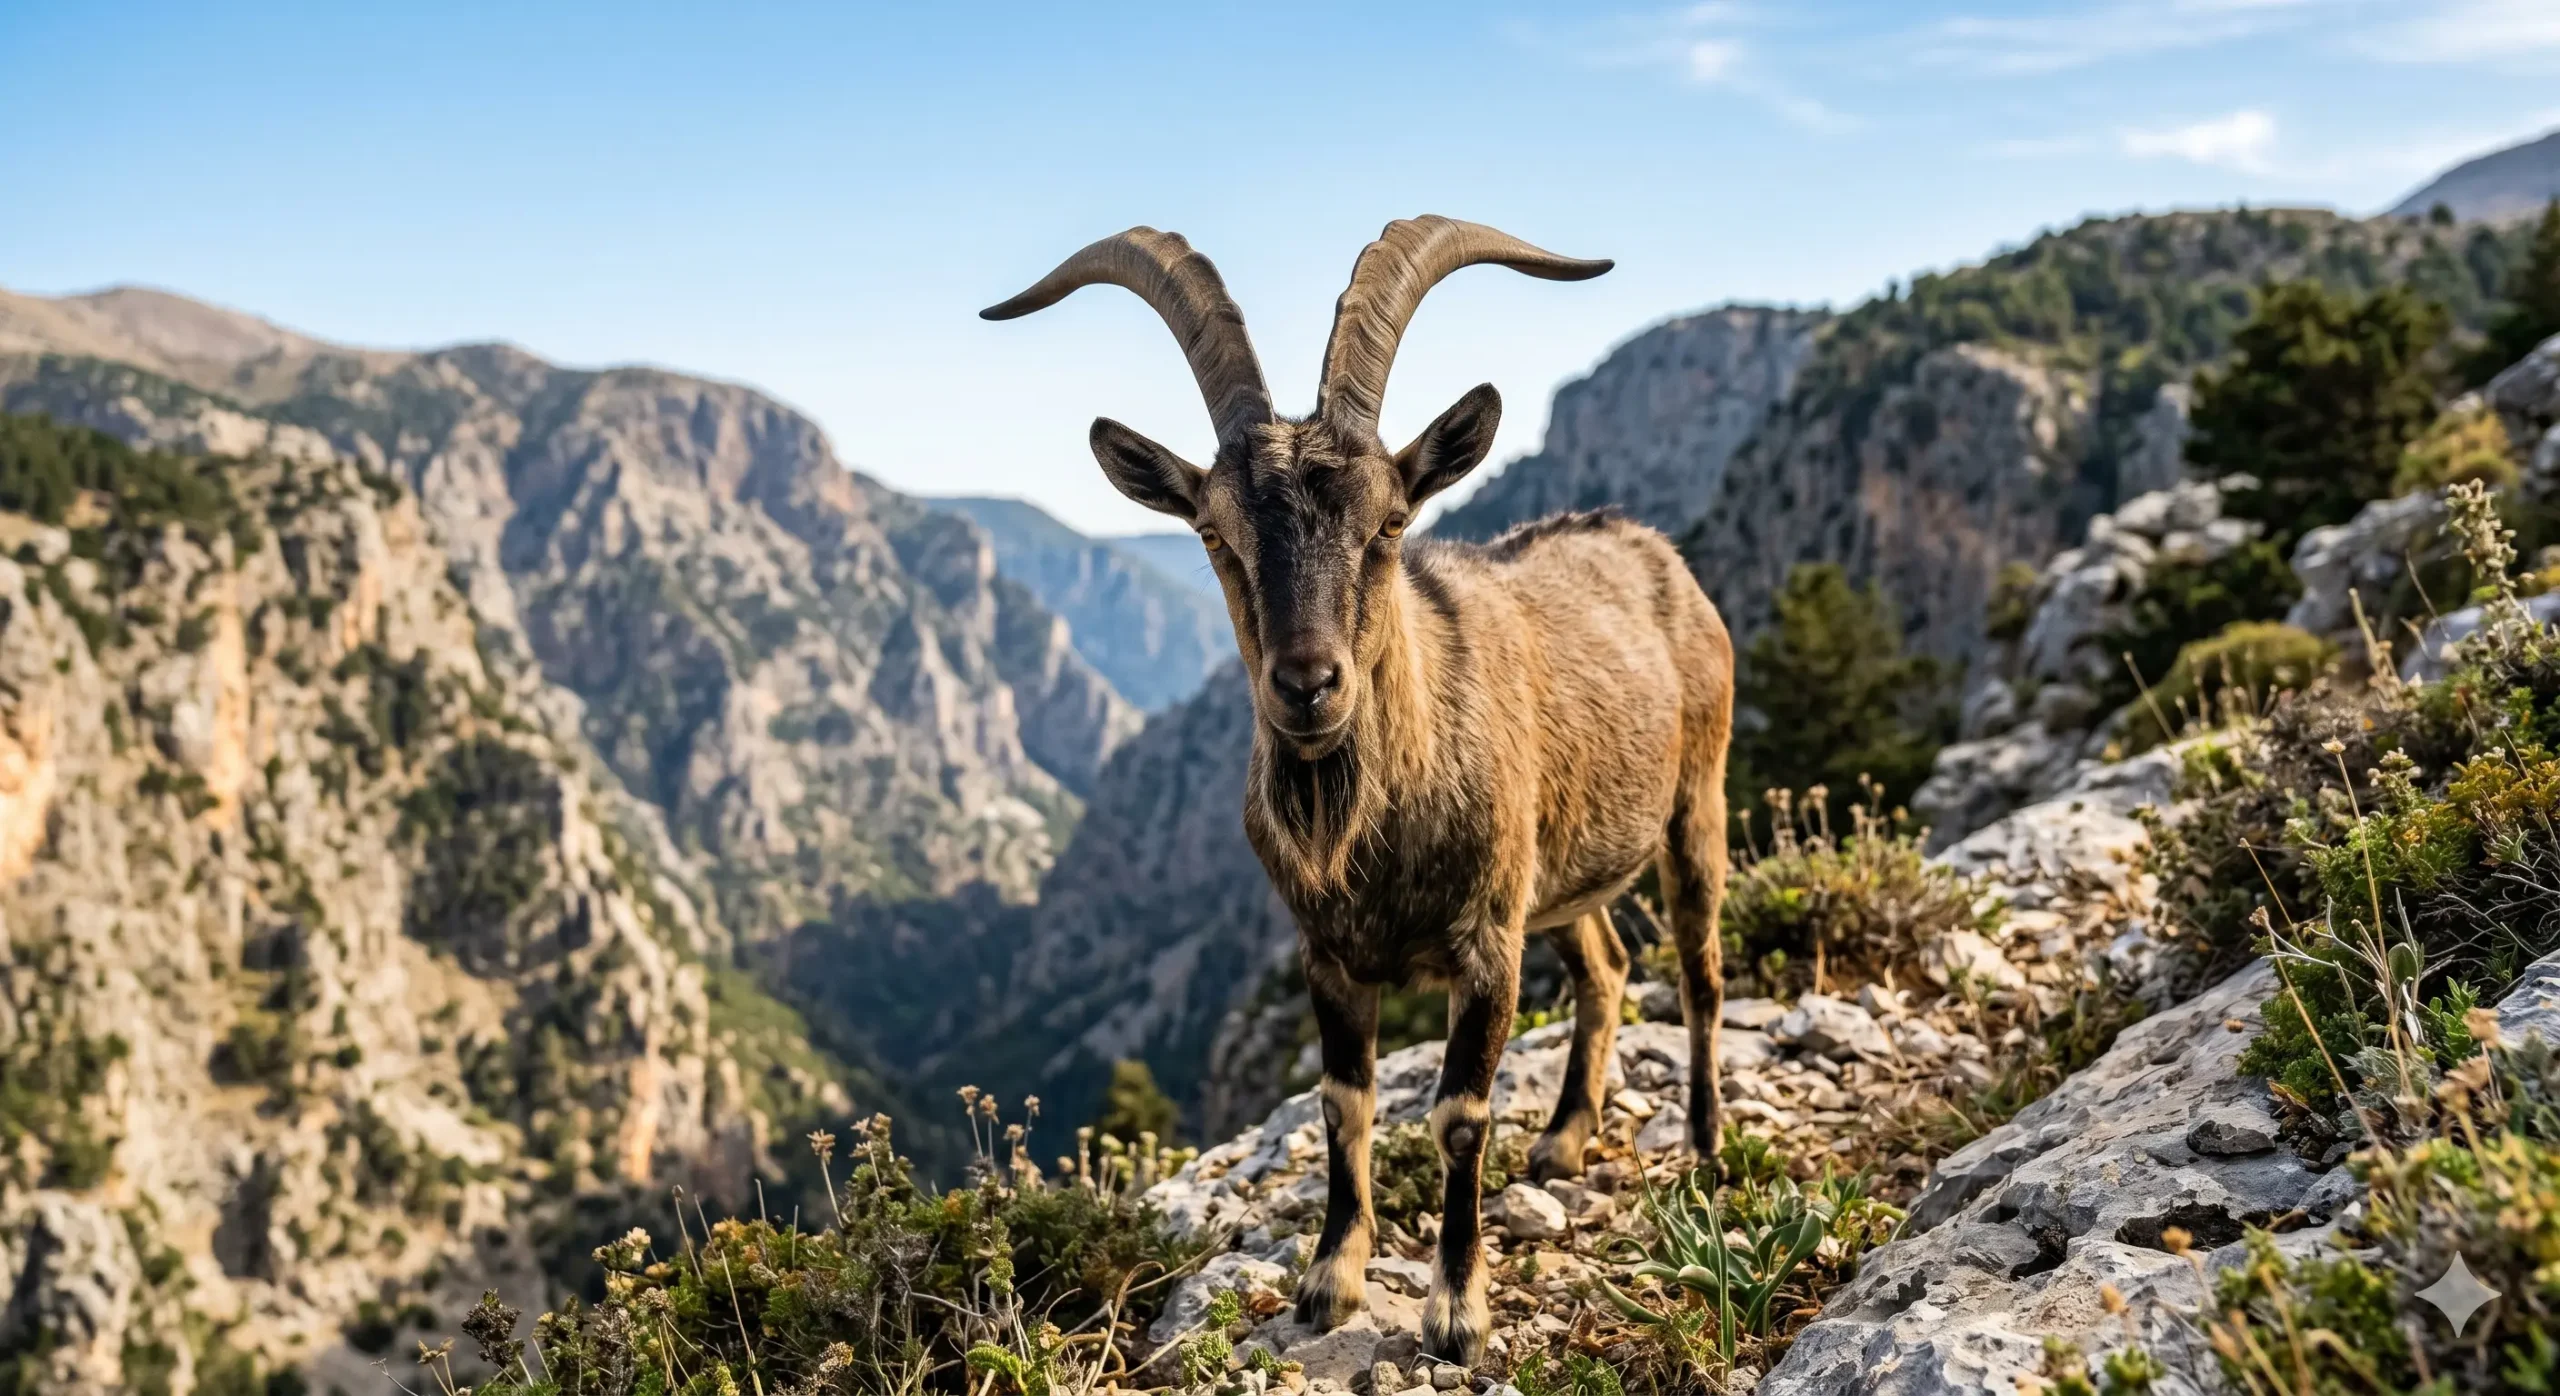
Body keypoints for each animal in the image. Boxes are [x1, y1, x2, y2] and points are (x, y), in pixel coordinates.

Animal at [984, 218, 1734, 1365]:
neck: (1381, 837)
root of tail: (1653, 550)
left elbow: (1460, 1115)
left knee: (1698, 968)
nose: (1307, 685)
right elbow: (1344, 1103)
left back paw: (1703, 1144)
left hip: (1697, 797)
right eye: (1216, 535)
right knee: (1605, 966)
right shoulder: (1330, 954)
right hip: (1558, 875)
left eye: (1388, 523)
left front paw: (1457, 1308)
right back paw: (1565, 1140)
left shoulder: (1484, 944)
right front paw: (1329, 1280)